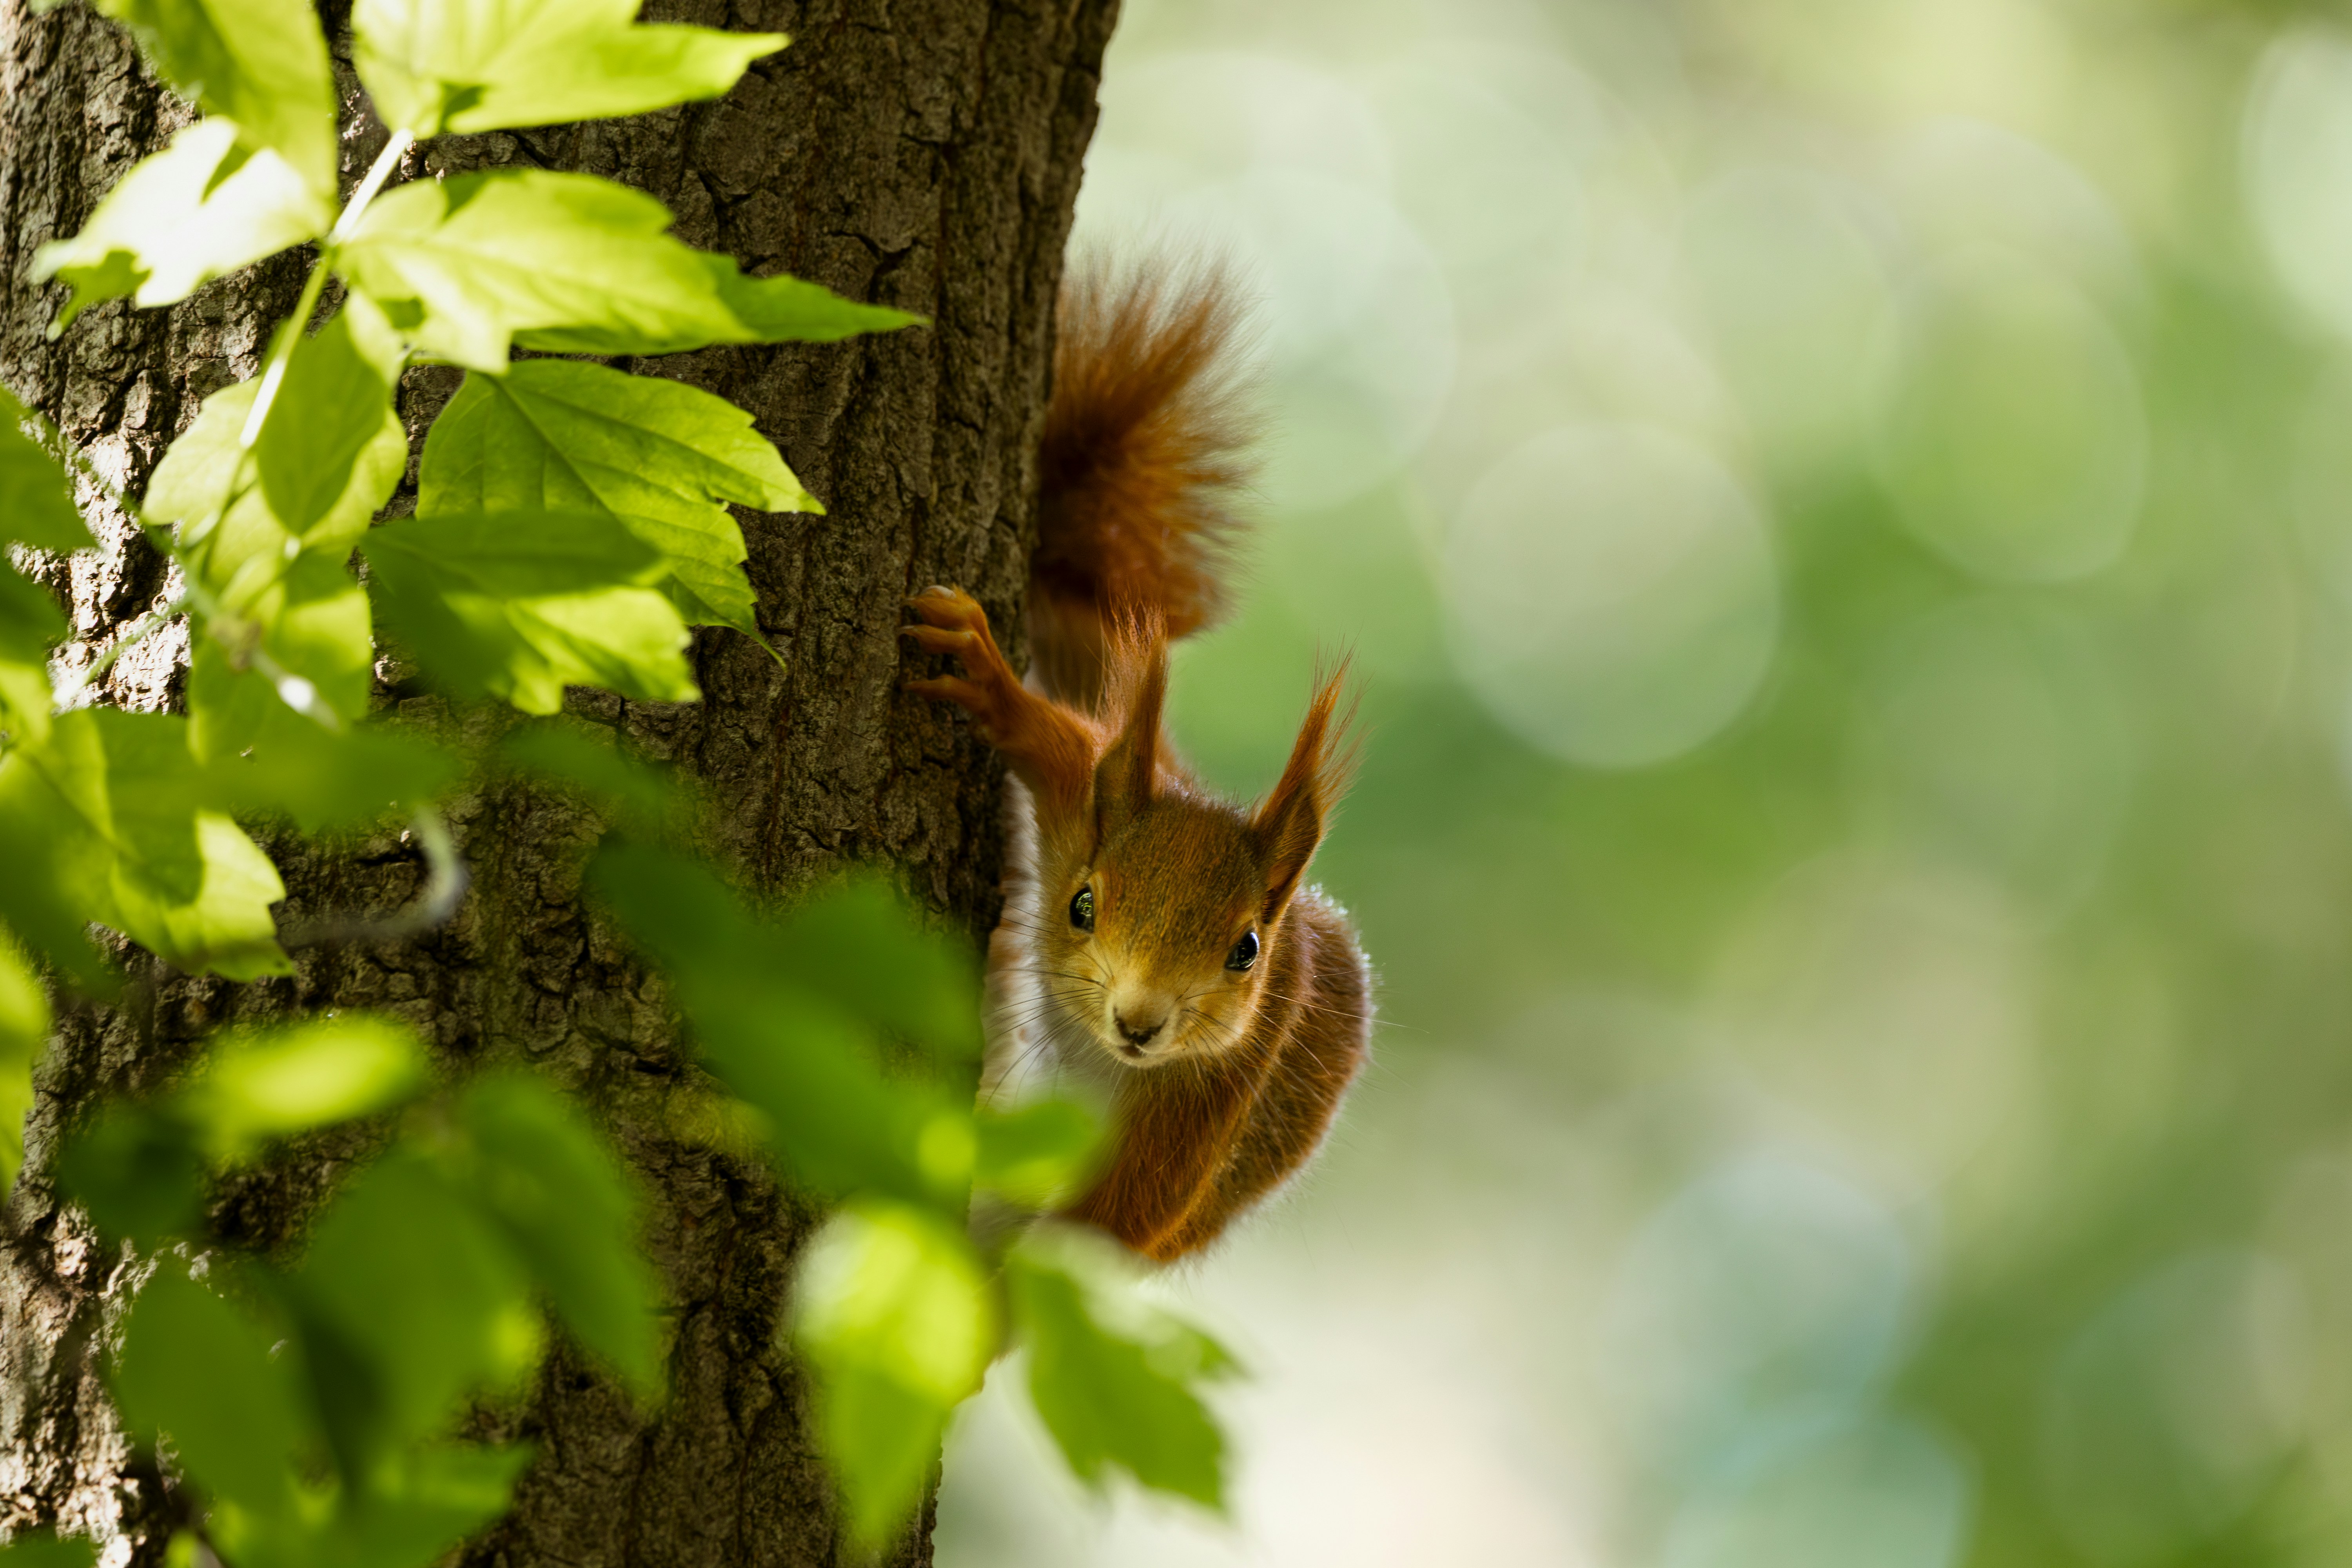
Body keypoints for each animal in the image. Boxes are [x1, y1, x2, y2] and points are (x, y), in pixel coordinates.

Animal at [901, 261, 1371, 1263]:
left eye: (1247, 950)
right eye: (1082, 905)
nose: (1140, 1022)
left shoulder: (1199, 1110)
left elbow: (1091, 1237)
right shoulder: (1082, 799)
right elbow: (1058, 740)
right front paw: (986, 677)